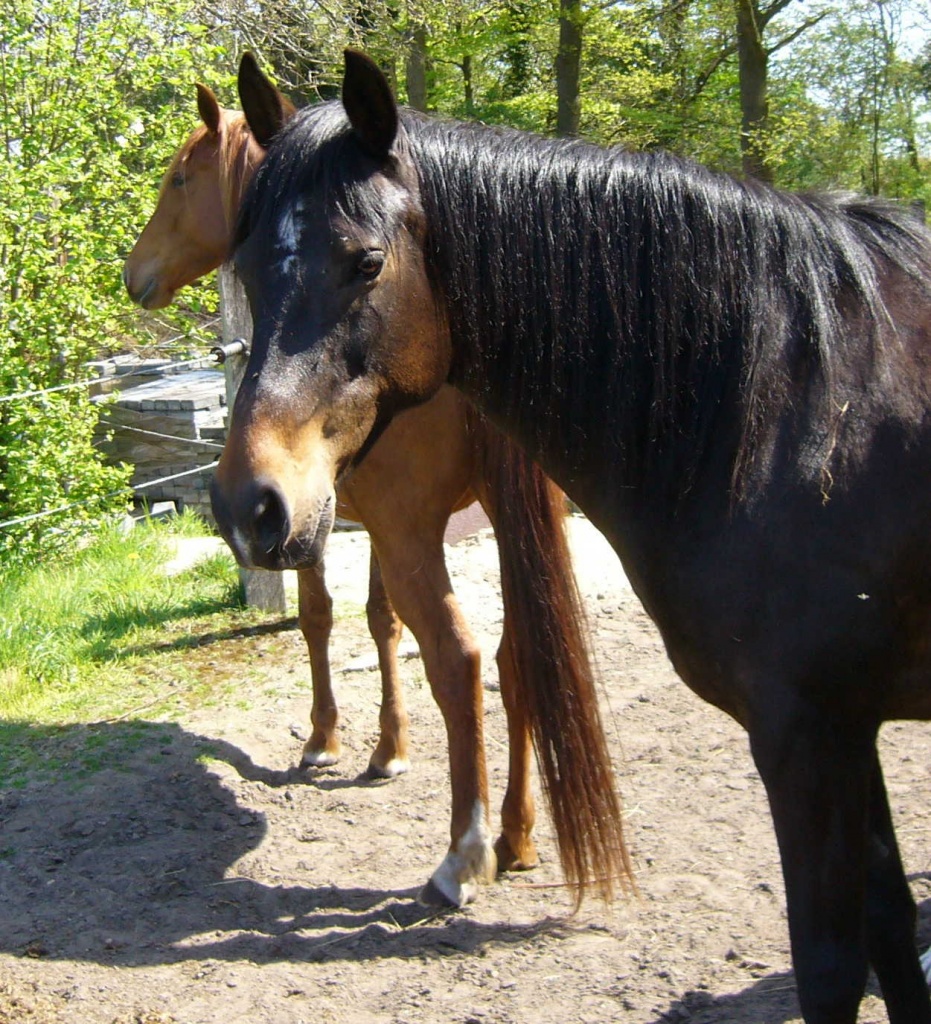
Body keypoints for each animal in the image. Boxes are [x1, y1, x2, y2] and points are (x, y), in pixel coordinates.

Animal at [123, 73, 629, 908]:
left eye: (177, 180)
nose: (136, 275)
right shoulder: (369, 529)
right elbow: (379, 622)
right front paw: (389, 747)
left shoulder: (325, 529)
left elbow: (321, 619)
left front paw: (326, 739)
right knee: (517, 657)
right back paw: (517, 835)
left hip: (414, 536)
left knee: (459, 659)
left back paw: (465, 853)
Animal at [213, 48, 931, 1023]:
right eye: (247, 264)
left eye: (365, 262)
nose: (250, 505)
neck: (788, 408)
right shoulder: (849, 730)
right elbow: (893, 937)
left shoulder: (807, 734)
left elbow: (830, 964)